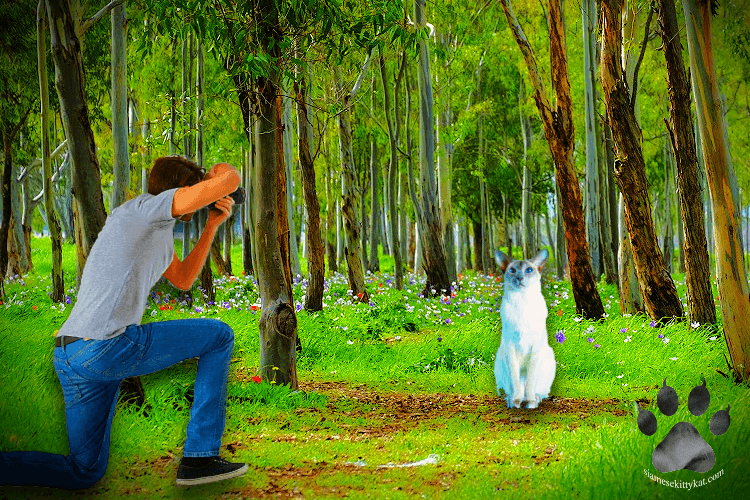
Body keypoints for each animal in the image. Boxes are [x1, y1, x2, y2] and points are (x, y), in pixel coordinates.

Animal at [496, 248, 556, 408]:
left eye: (528, 270)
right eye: (512, 270)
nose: (519, 278)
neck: (522, 300)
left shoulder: (536, 347)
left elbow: (531, 380)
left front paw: (531, 403)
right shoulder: (510, 346)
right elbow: (514, 380)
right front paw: (515, 403)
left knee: (538, 389)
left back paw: (534, 399)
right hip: (500, 357)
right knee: (511, 387)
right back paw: (512, 400)